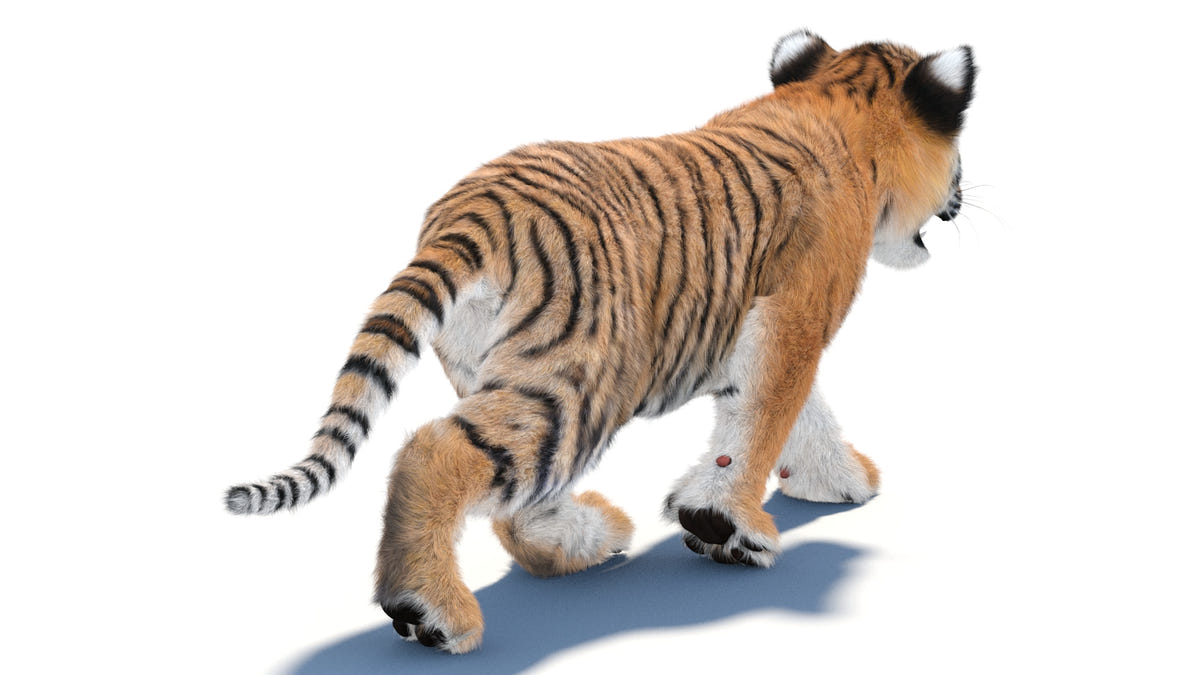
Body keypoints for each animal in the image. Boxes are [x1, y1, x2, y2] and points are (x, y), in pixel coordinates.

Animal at [225, 28, 976, 653]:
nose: (960, 196)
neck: (837, 104)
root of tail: (472, 214)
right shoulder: (794, 315)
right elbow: (767, 416)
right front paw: (727, 524)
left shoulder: (757, 328)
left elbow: (793, 412)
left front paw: (834, 482)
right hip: (589, 375)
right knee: (438, 451)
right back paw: (429, 610)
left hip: (498, 367)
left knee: (505, 493)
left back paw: (579, 541)